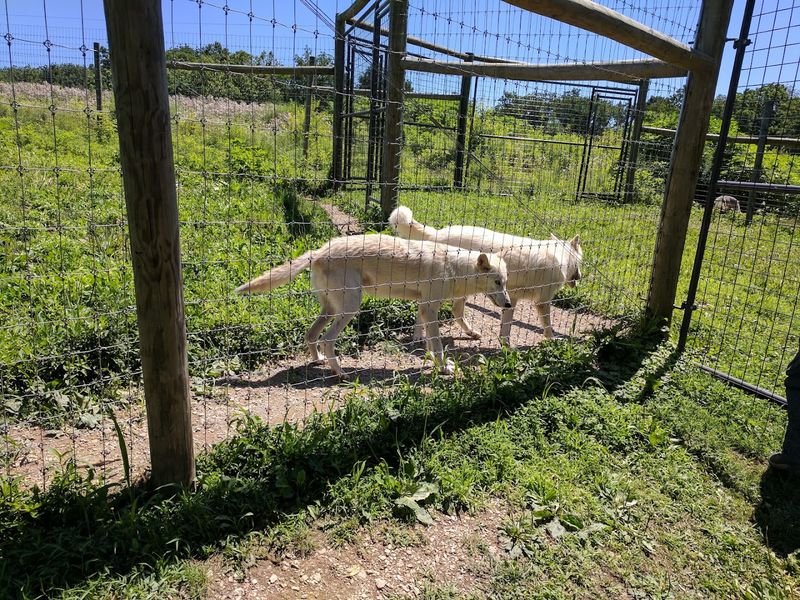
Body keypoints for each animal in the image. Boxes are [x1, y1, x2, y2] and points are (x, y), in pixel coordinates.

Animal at [236, 234, 511, 377]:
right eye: (497, 282)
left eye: (505, 282)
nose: (508, 303)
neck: (455, 269)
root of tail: (319, 250)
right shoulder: (429, 309)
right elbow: (439, 346)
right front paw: (444, 369)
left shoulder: (424, 308)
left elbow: (429, 343)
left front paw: (434, 361)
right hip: (350, 309)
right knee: (326, 339)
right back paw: (341, 373)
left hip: (331, 309)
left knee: (311, 335)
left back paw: (319, 362)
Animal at [389, 206, 582, 344]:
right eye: (580, 263)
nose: (580, 277)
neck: (560, 256)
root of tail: (437, 233)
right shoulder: (543, 302)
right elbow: (548, 327)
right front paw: (553, 341)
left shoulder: (510, 300)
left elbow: (506, 329)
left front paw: (505, 348)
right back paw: (418, 337)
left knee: (454, 311)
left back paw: (470, 333)